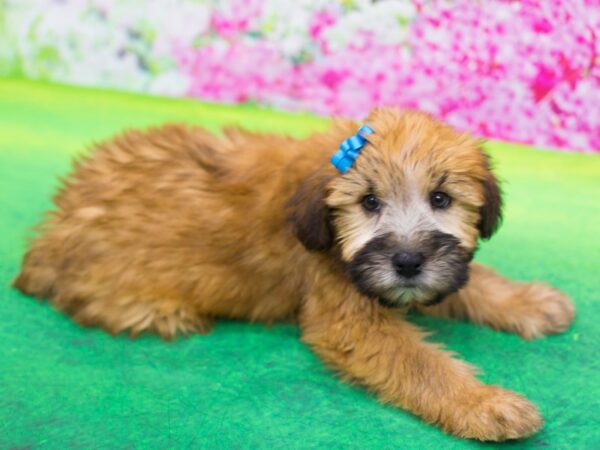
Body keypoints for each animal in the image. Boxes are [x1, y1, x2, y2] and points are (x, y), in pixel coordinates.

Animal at [14, 108, 576, 440]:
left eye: (441, 199)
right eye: (369, 202)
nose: (407, 262)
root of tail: (51, 230)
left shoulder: (436, 267)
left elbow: (474, 281)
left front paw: (529, 301)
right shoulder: (346, 310)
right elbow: (419, 363)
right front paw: (484, 404)